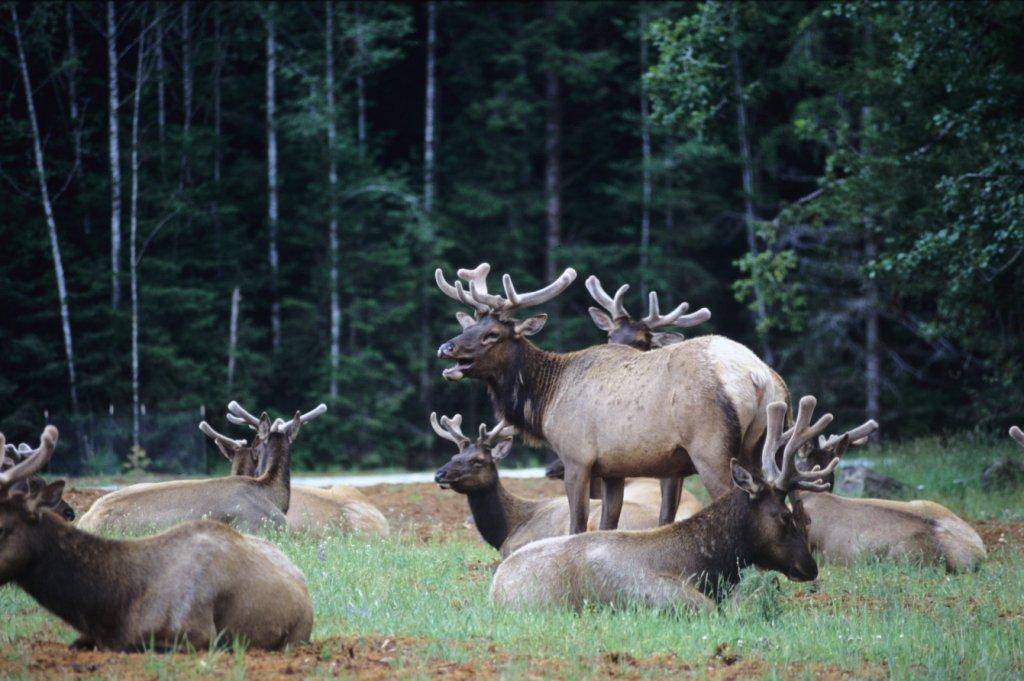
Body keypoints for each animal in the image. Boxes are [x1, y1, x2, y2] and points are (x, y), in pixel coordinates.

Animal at [435, 262, 784, 534]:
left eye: (492, 334)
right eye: (469, 325)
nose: (446, 347)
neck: (546, 401)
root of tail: (758, 376)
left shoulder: (577, 458)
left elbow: (577, 525)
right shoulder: (613, 468)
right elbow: (606, 526)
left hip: (711, 446)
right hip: (758, 445)